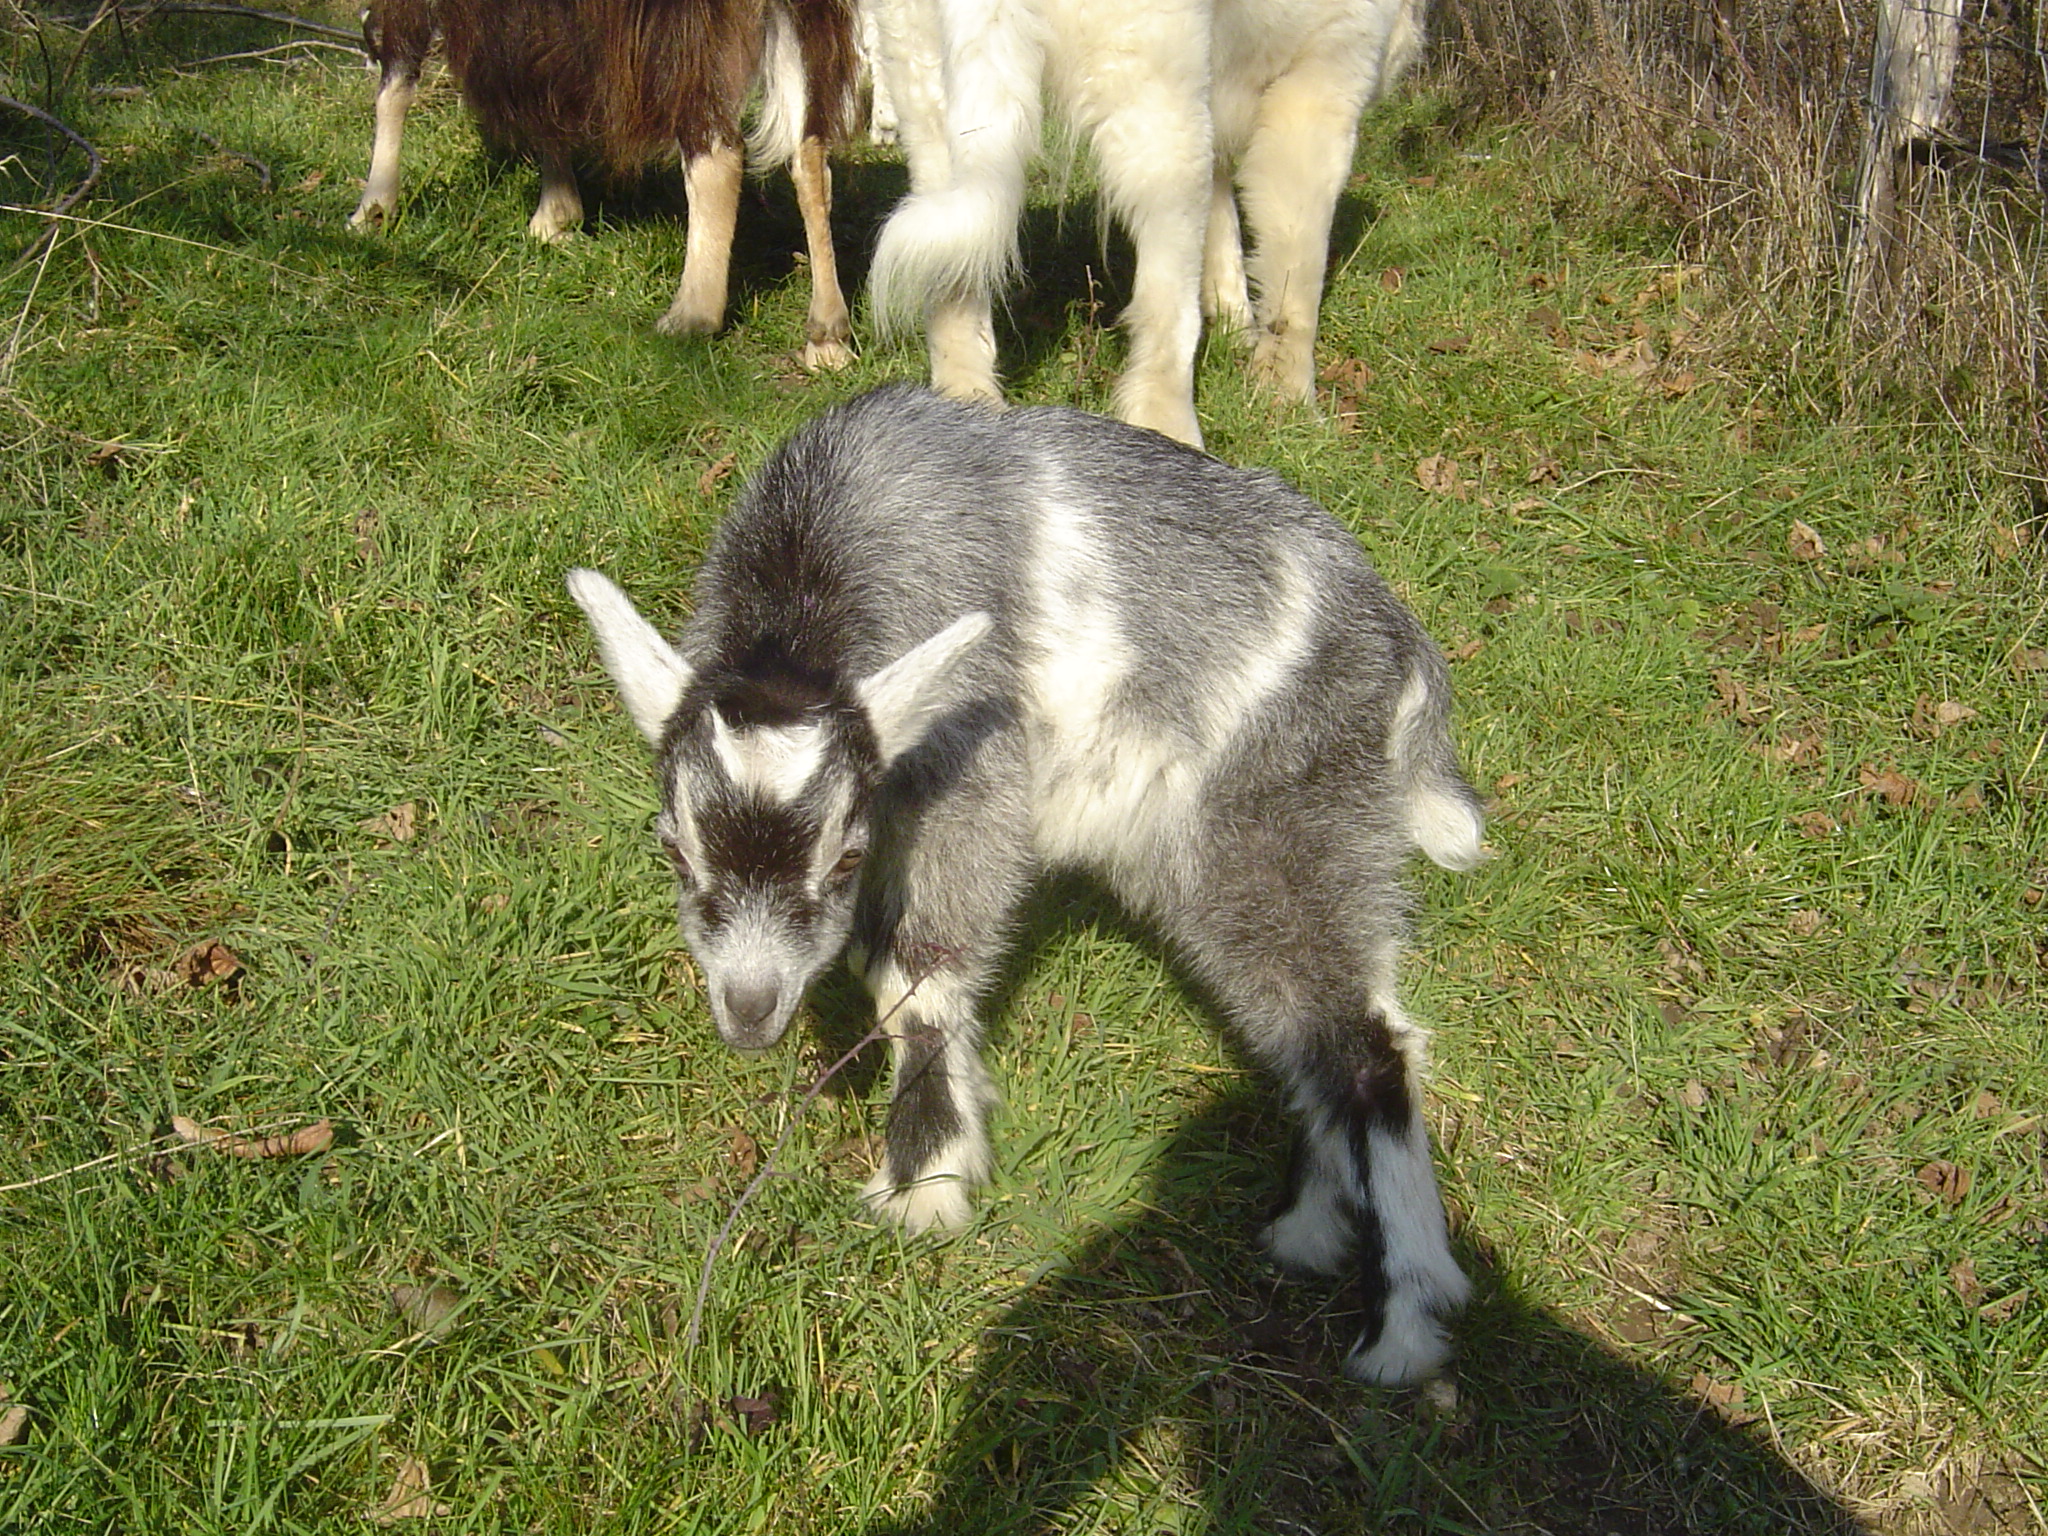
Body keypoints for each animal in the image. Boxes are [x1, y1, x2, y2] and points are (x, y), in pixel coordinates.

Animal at [351, 0, 861, 368]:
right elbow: (546, 86)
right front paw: (556, 216)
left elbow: (394, 68)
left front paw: (373, 210)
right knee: (810, 151)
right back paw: (827, 334)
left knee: (716, 149)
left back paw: (691, 314)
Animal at [567, 385, 1482, 1383]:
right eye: (674, 849)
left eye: (845, 857)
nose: (749, 1009)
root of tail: (1395, 636)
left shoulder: (973, 774)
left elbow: (917, 976)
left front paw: (924, 1183)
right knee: (1312, 1028)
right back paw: (1312, 1230)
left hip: (1274, 813)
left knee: (1369, 1042)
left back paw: (1403, 1325)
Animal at [863, 0, 1424, 446]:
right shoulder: (1322, 86)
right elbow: (1297, 276)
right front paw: (1290, 399)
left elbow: (1225, 233)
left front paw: (1236, 327)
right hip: (1161, 113)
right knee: (1163, 319)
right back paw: (1176, 438)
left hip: (926, 88)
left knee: (955, 291)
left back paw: (969, 411)